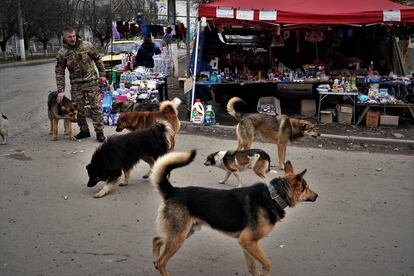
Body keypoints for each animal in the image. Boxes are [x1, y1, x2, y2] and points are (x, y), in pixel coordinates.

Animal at [150, 151, 318, 276]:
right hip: (179, 237)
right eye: (306, 188)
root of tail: (173, 190)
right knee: (162, 261)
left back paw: (155, 259)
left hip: (183, 233)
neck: (273, 195)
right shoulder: (248, 241)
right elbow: (267, 264)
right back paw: (160, 264)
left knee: (157, 240)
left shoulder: (247, 244)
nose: (317, 196)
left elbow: (253, 268)